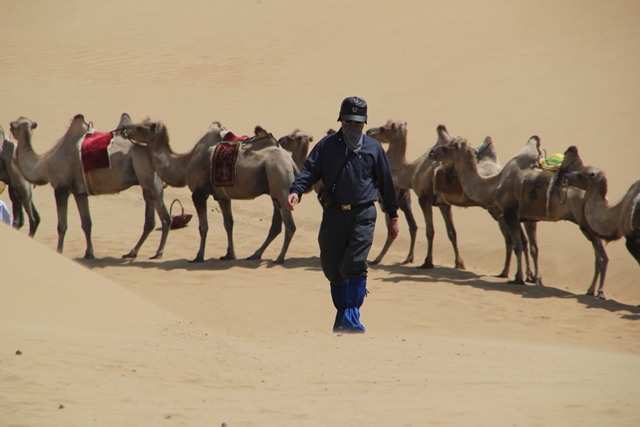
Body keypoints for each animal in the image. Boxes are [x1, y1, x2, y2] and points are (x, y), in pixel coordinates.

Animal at [10, 113, 170, 260]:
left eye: (14, 125)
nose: (10, 125)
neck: (44, 164)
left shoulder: (61, 188)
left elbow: (62, 225)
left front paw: (59, 251)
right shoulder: (80, 192)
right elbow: (87, 224)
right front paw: (89, 253)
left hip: (151, 180)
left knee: (165, 217)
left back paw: (158, 253)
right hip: (145, 184)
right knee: (149, 221)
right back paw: (132, 252)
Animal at [122, 118, 298, 264]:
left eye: (139, 127)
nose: (125, 131)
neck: (186, 162)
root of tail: (290, 161)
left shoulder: (199, 193)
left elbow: (203, 227)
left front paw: (198, 256)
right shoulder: (223, 197)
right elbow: (228, 224)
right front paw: (229, 255)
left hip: (279, 178)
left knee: (290, 225)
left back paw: (279, 258)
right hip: (274, 190)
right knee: (276, 225)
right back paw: (256, 254)